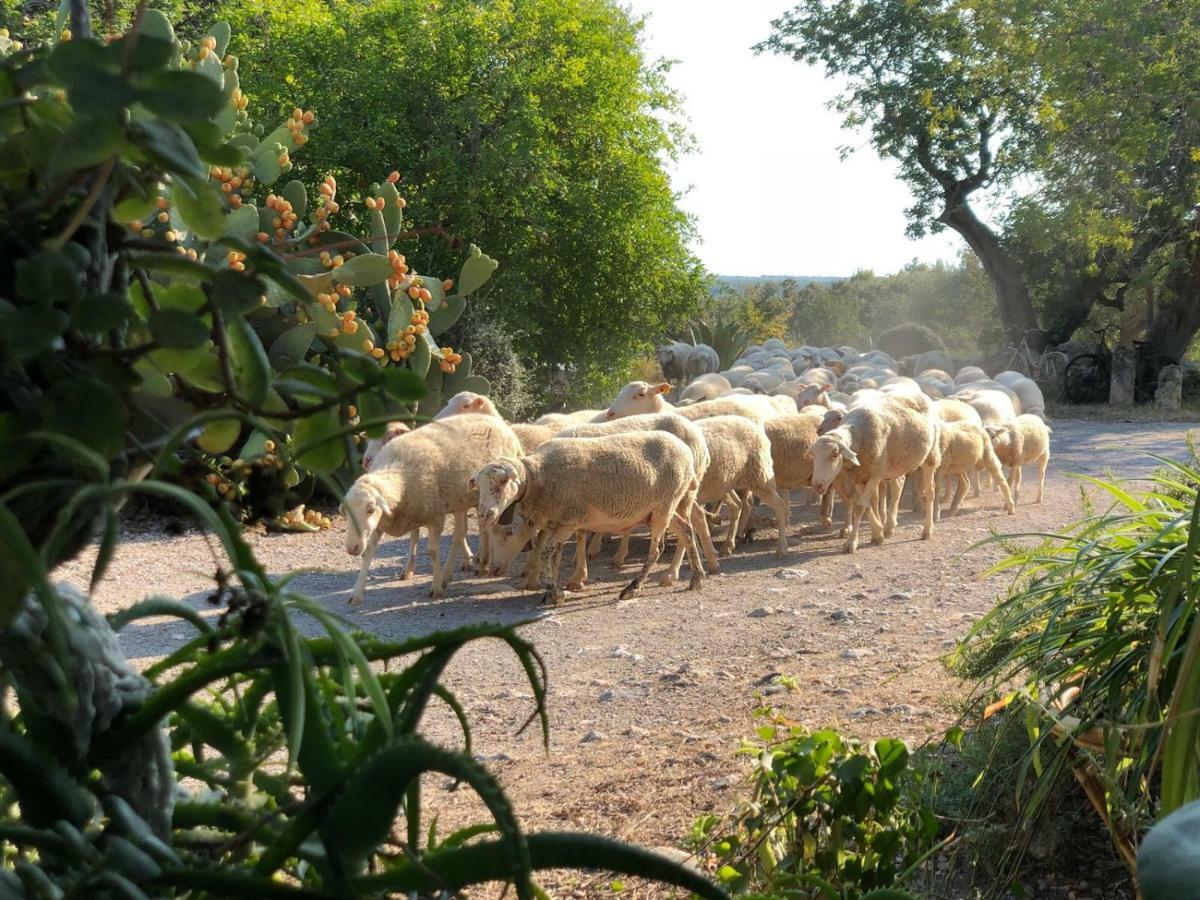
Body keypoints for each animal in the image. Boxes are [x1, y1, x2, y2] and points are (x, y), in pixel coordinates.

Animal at [340, 417, 523, 607]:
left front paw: (436, 588)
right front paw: (356, 593)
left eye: (370, 510)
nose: (352, 548)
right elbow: (369, 552)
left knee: (483, 530)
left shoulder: (435, 516)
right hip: (461, 501)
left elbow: (432, 552)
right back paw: (455, 573)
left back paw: (482, 565)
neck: (399, 472)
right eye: (346, 513)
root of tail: (498, 421)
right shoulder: (384, 522)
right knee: (460, 535)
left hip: (493, 500)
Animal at [472, 429, 705, 607]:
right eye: (480, 486)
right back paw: (697, 578)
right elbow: (554, 555)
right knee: (686, 530)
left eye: (502, 482)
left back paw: (633, 588)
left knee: (657, 550)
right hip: (661, 507)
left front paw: (555, 593)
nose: (484, 514)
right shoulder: (555, 522)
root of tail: (685, 449)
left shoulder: (569, 520)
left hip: (665, 505)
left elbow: (546, 552)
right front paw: (551, 591)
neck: (537, 476)